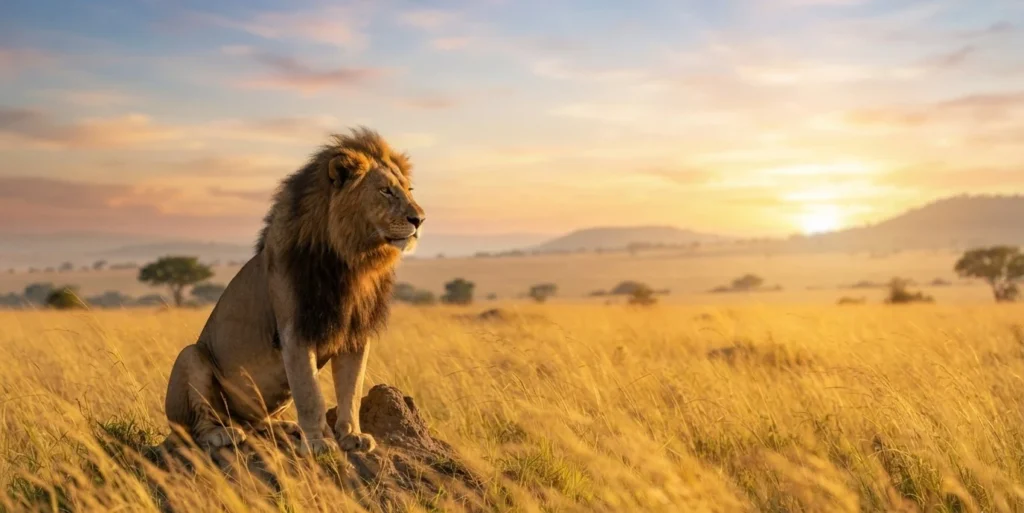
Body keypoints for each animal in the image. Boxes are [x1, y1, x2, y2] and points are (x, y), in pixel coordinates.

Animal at [164, 127, 425, 455]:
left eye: (409, 189)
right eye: (385, 191)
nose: (420, 219)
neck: (352, 260)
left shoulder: (355, 332)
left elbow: (351, 389)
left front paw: (351, 435)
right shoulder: (295, 330)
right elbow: (309, 392)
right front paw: (319, 441)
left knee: (255, 421)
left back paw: (282, 427)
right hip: (190, 358)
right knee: (196, 426)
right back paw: (222, 434)